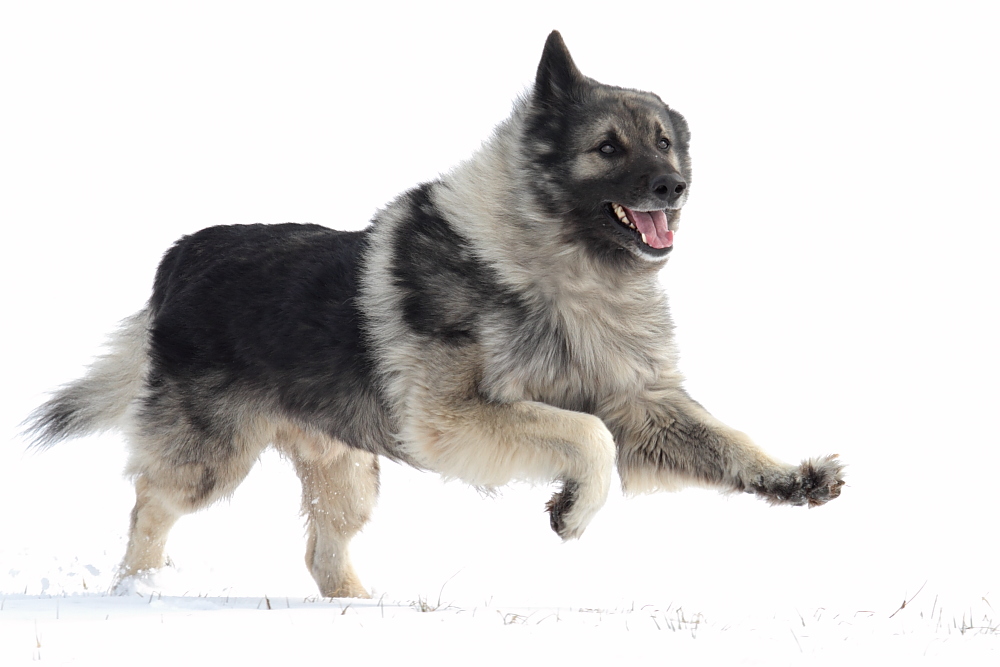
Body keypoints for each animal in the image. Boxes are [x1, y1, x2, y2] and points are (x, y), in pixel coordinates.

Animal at [27, 31, 844, 600]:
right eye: (608, 147)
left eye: (665, 142)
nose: (672, 187)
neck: (554, 266)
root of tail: (184, 253)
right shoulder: (457, 420)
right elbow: (590, 438)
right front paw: (574, 509)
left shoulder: (638, 400)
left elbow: (716, 438)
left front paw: (791, 477)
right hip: (211, 457)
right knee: (151, 502)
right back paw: (138, 587)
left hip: (347, 471)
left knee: (321, 551)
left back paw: (362, 609)